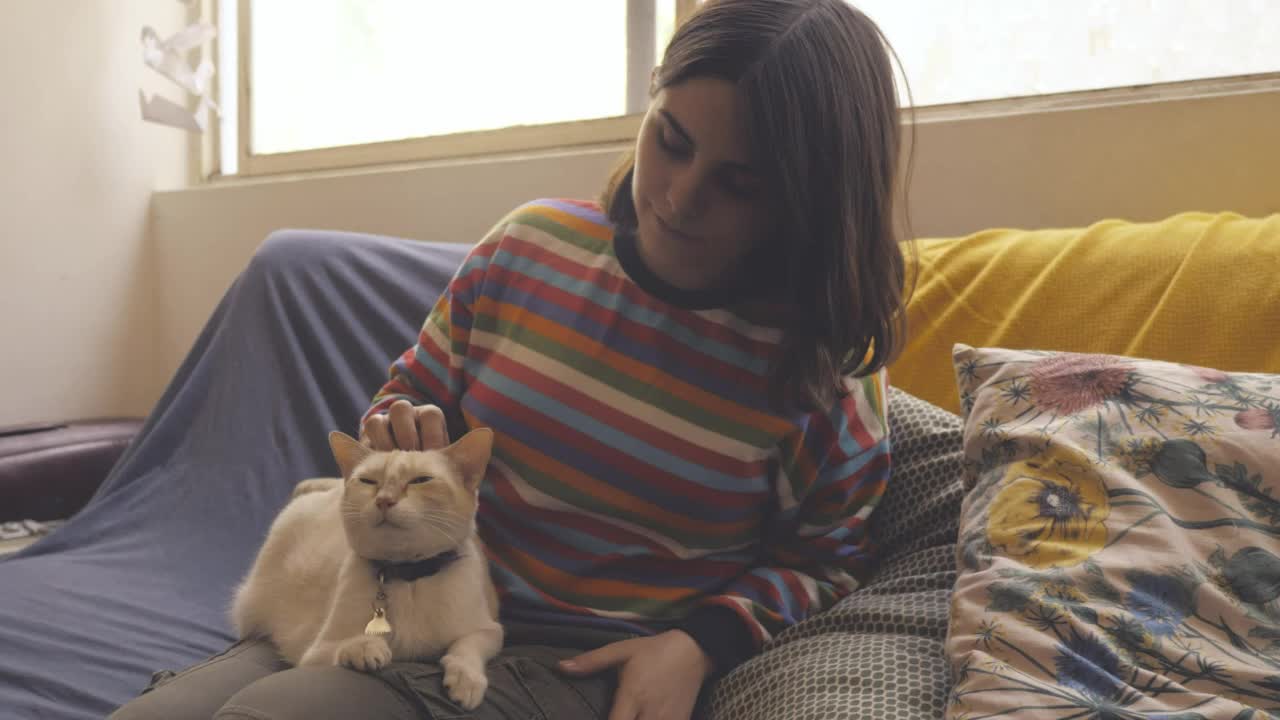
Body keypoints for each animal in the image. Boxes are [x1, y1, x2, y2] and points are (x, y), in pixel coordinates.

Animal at [232, 425, 501, 707]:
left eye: (420, 480)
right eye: (368, 481)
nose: (384, 500)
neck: (408, 575)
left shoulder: (490, 630)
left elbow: (466, 647)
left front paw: (465, 681)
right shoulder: (313, 652)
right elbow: (345, 645)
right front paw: (366, 648)